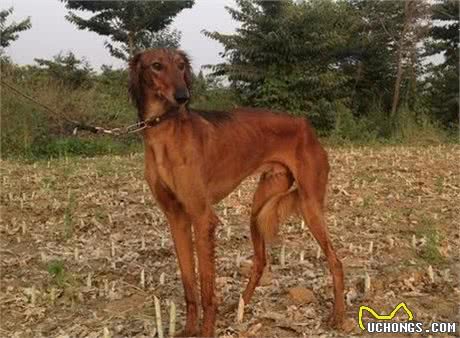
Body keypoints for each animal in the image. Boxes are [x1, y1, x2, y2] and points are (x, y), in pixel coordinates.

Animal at [129, 48, 344, 336]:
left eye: (181, 65)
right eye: (156, 66)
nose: (183, 96)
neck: (164, 134)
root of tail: (306, 125)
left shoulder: (202, 217)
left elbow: (207, 290)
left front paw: (206, 331)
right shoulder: (176, 218)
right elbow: (189, 285)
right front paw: (188, 330)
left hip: (310, 205)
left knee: (335, 260)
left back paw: (338, 316)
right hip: (258, 209)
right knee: (261, 261)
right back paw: (240, 306)